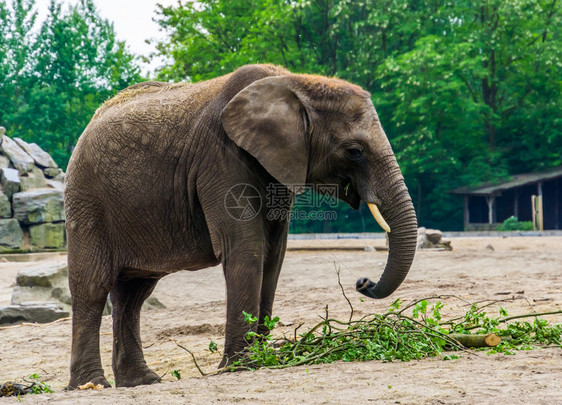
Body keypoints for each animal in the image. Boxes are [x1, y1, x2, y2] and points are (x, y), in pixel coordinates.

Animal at [64, 64, 416, 388]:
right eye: (354, 152)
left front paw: (262, 358)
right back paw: (91, 385)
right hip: (86, 200)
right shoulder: (220, 158)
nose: (362, 282)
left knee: (133, 294)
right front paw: (242, 366)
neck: (295, 82)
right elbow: (246, 249)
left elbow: (274, 254)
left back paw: (142, 381)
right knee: (93, 287)